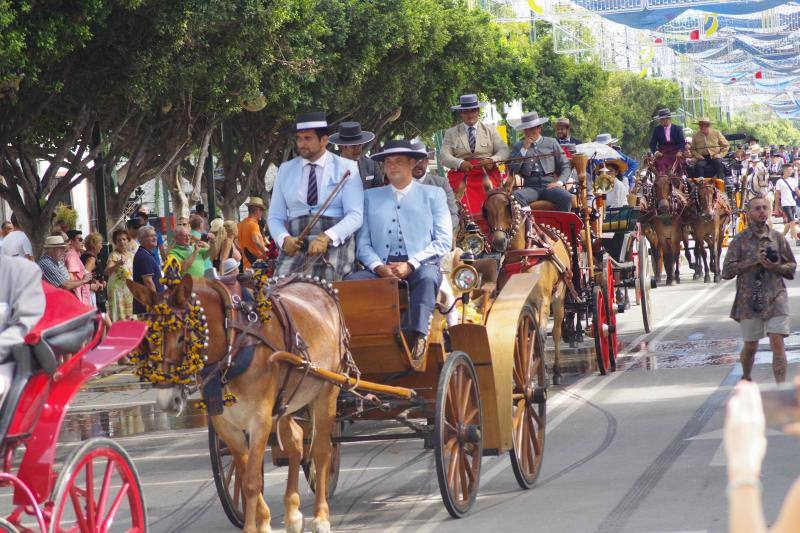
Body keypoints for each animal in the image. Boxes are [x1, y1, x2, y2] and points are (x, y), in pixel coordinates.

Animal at [128, 274, 344, 532]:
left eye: (182, 337)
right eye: (149, 339)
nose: (167, 400)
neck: (233, 345)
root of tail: (321, 288)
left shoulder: (259, 419)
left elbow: (251, 481)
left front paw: (254, 527)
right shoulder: (225, 424)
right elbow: (244, 473)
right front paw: (263, 522)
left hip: (327, 391)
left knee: (321, 450)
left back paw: (321, 516)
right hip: (286, 403)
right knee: (296, 442)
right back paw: (292, 513)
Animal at [484, 179, 572, 382]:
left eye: (508, 206)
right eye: (486, 209)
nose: (499, 242)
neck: (523, 254)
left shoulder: (543, 301)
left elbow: (541, 335)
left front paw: (541, 372)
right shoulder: (517, 303)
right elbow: (524, 335)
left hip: (559, 297)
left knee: (556, 331)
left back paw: (556, 370)